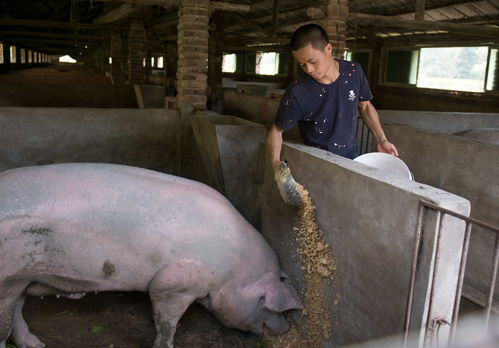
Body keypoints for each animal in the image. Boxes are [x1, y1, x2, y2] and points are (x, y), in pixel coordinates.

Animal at [0, 164, 300, 348]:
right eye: (269, 305)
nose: (286, 328)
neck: (233, 271)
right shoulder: (173, 283)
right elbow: (167, 322)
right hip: (7, 277)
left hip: (22, 277)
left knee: (17, 310)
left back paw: (37, 344)